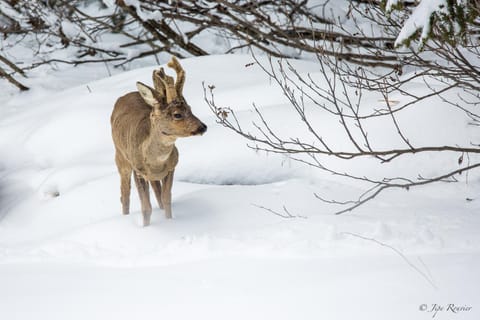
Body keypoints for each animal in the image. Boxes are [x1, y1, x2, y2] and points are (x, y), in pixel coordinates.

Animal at [111, 56, 207, 226]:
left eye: (190, 108)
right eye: (177, 114)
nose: (203, 127)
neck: (156, 162)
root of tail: (126, 95)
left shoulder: (171, 167)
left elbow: (166, 199)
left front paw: (169, 221)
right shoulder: (138, 170)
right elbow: (146, 207)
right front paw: (146, 227)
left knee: (157, 193)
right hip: (121, 157)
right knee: (124, 195)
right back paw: (125, 216)